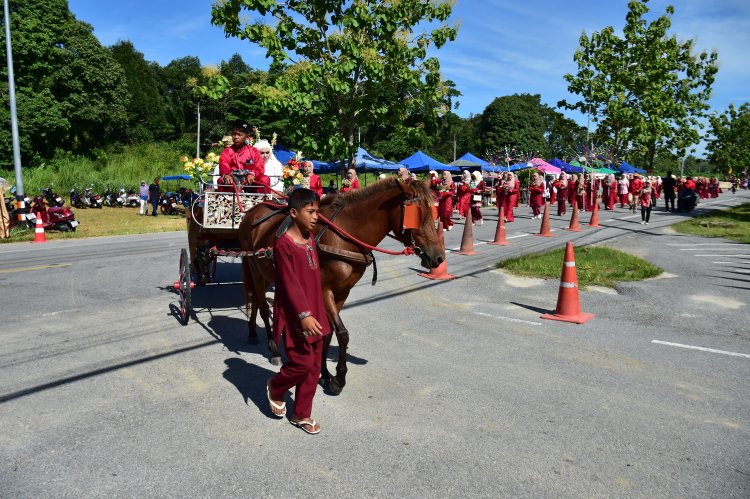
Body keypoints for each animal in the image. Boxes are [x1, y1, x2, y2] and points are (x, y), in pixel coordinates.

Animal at [238, 178, 444, 396]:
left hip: (271, 274)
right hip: (255, 270)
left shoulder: (343, 291)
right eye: (418, 215)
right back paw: (274, 348)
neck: (345, 235)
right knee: (261, 305)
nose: (438, 257)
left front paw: (324, 374)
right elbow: (342, 334)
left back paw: (255, 332)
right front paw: (338, 378)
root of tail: (252, 211)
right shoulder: (324, 289)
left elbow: (328, 333)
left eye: (433, 212)